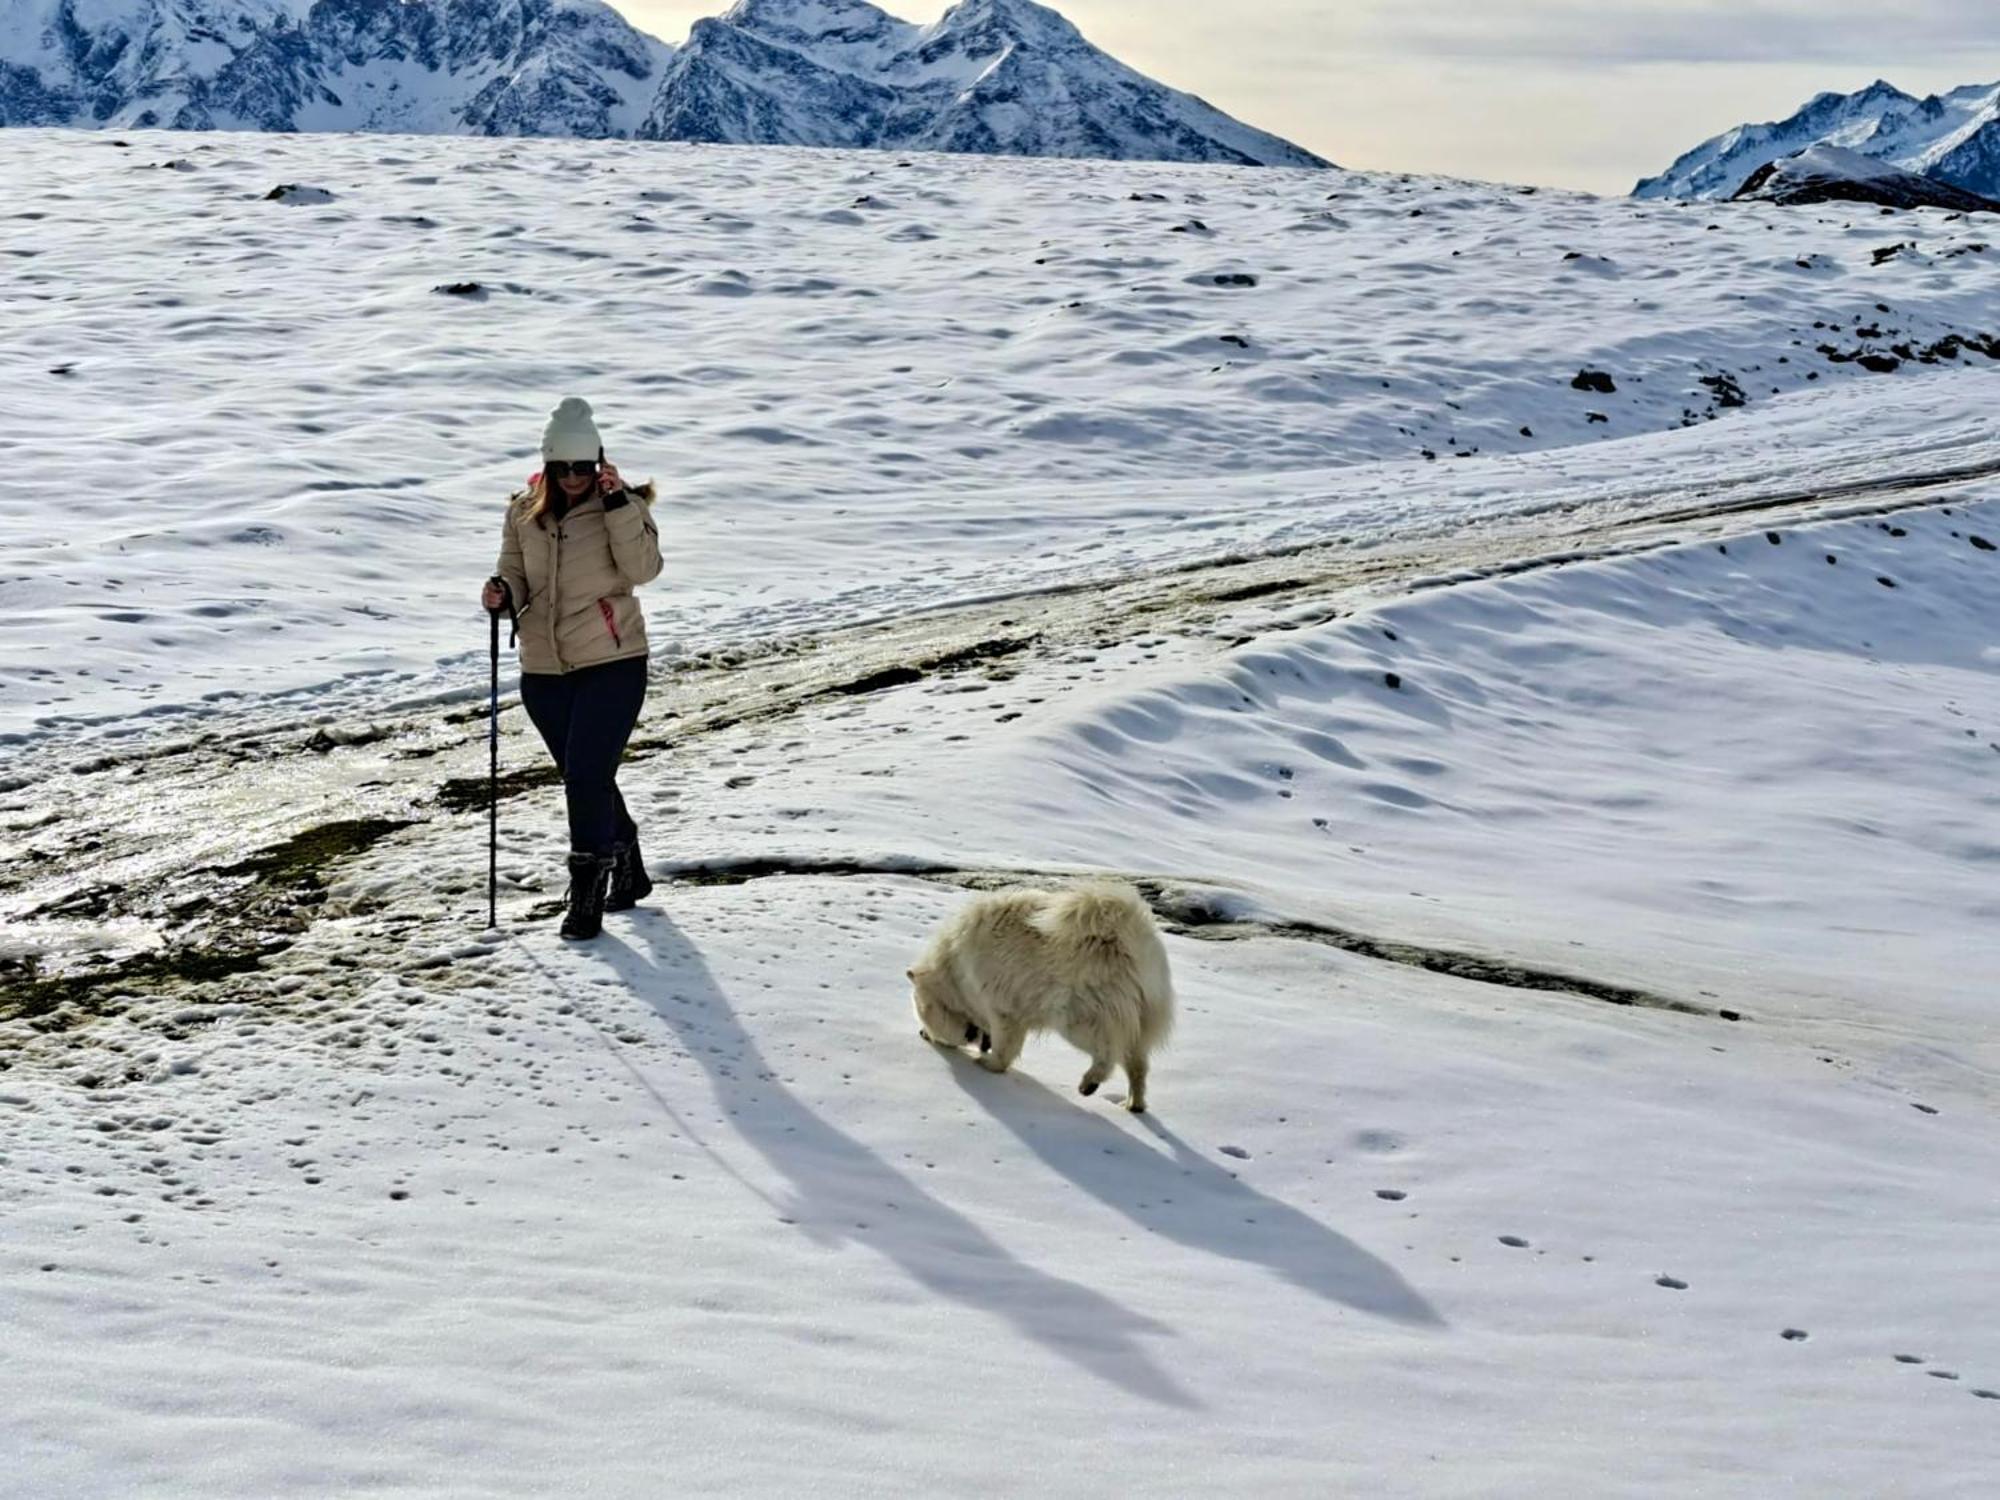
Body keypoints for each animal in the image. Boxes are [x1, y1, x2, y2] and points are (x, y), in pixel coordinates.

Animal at [908, 880, 1168, 1120]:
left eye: (922, 1013)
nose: (921, 1033)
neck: (954, 975)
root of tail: (1134, 939)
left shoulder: (1002, 1010)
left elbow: (1004, 1050)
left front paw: (988, 1064)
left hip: (1076, 1018)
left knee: (1108, 1053)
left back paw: (1089, 1082)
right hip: (1137, 1022)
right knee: (1137, 1065)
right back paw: (1133, 1104)